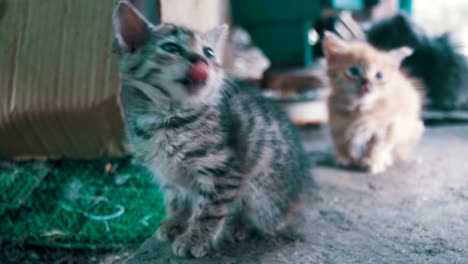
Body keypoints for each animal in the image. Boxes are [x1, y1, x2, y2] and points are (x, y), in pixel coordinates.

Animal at [112, 1, 310, 258]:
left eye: (209, 52)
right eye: (171, 48)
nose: (202, 62)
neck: (167, 119)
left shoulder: (223, 169)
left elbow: (209, 209)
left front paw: (195, 239)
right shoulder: (167, 176)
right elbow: (176, 201)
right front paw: (175, 223)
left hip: (262, 192)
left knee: (268, 222)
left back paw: (240, 226)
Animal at [322, 31, 424, 173]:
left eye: (379, 76)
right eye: (353, 71)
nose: (366, 83)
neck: (360, 109)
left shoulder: (388, 127)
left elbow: (377, 147)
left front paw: (372, 162)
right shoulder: (337, 125)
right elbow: (341, 143)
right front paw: (345, 159)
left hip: (413, 130)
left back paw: (387, 159)